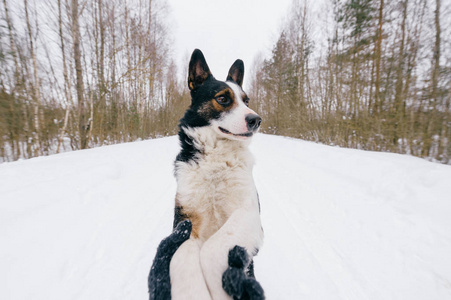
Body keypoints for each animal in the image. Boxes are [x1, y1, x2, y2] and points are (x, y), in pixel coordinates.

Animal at [148, 49, 264, 300]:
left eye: (246, 101)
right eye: (223, 99)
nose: (256, 120)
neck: (216, 158)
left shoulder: (248, 212)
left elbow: (212, 249)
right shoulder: (185, 223)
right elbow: (184, 257)